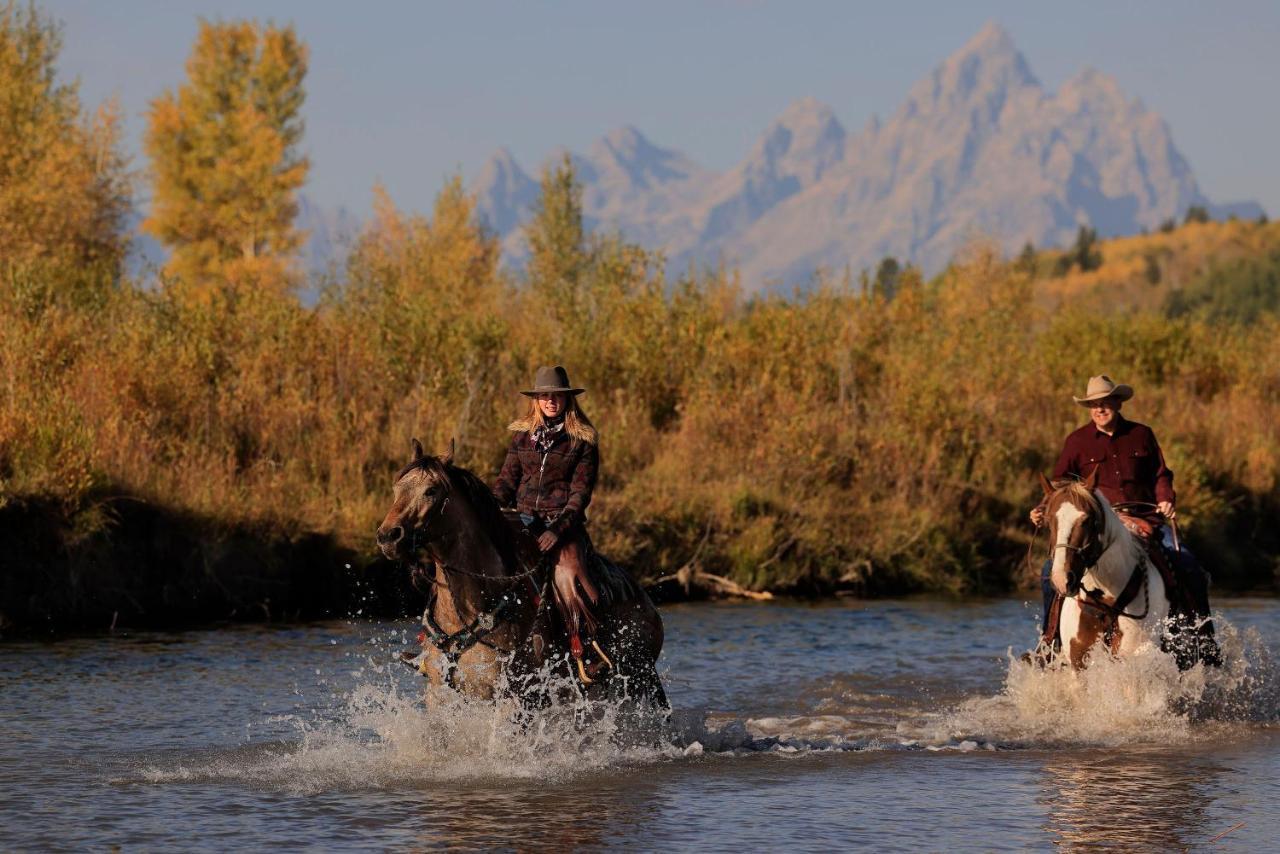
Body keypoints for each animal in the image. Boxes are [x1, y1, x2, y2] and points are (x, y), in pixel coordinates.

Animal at [373, 440, 665, 717]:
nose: (388, 536)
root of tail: (644, 597)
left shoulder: (516, 698)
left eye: (431, 490)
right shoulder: (439, 693)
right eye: (396, 489)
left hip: (639, 678)